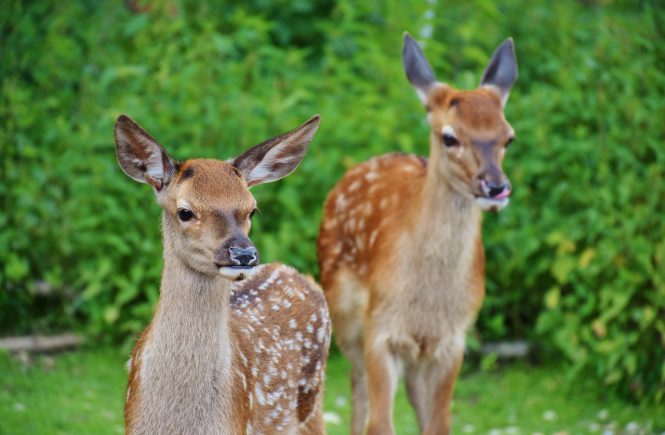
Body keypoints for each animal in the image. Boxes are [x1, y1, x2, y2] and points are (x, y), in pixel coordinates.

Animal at [316, 32, 520, 434]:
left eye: (508, 137)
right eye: (449, 137)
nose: (495, 187)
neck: (427, 303)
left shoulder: (452, 340)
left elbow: (439, 423)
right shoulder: (380, 329)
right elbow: (379, 423)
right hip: (345, 315)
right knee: (358, 391)